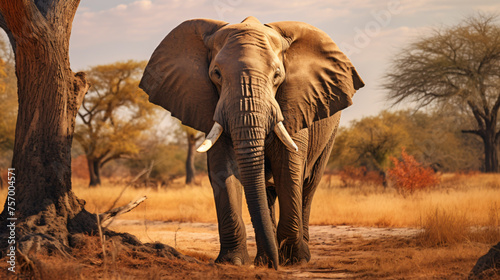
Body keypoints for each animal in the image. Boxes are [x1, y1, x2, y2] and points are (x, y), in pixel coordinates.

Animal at [141, 15, 364, 270]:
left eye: (277, 75)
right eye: (216, 74)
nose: (275, 265)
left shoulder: (296, 104)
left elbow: (288, 169)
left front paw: (293, 261)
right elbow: (223, 169)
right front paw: (232, 262)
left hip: (330, 132)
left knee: (309, 186)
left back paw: (298, 255)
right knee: (267, 193)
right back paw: (264, 259)